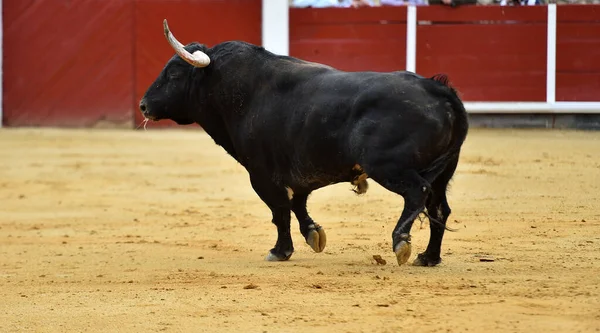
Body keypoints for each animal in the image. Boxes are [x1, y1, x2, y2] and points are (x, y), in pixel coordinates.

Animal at [139, 19, 468, 266]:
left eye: (173, 73)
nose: (143, 105)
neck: (239, 91)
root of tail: (438, 89)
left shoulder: (261, 174)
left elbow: (279, 210)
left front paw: (280, 251)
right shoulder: (297, 172)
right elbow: (296, 203)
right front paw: (313, 234)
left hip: (388, 166)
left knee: (418, 193)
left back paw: (401, 242)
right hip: (443, 172)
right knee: (439, 207)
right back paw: (428, 257)